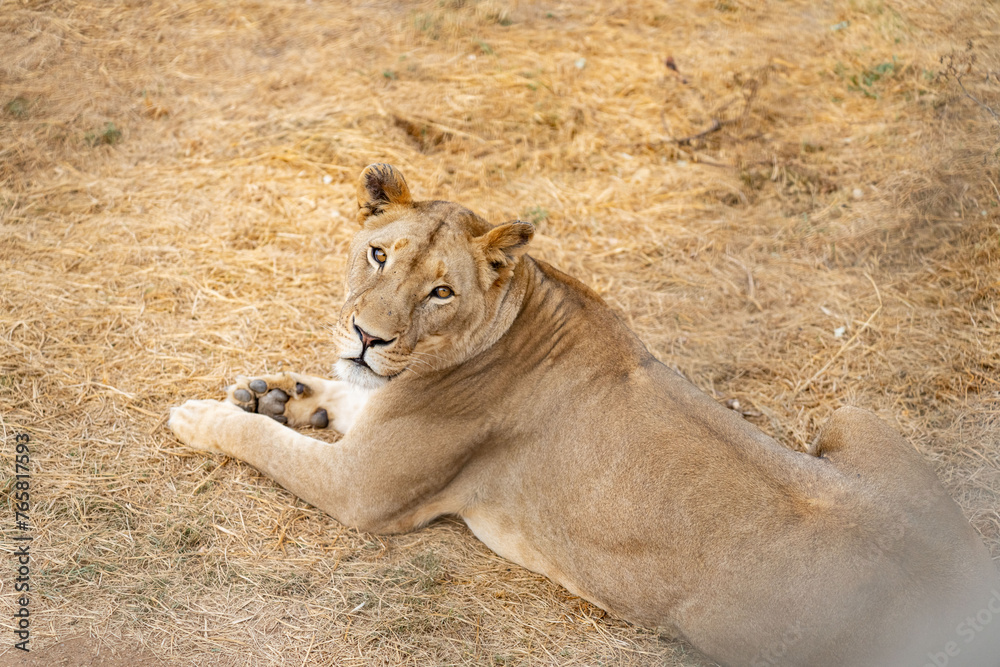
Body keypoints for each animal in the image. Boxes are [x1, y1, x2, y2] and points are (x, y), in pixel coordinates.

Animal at [169, 163, 999, 667]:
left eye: (441, 291)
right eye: (379, 255)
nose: (368, 335)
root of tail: (961, 583)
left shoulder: (364, 491)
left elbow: (262, 440)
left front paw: (204, 414)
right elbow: (342, 396)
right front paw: (279, 393)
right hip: (855, 414)